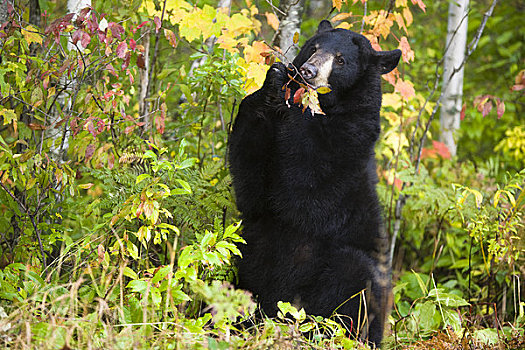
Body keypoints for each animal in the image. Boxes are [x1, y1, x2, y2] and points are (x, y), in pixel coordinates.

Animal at [229, 20, 402, 346]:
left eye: (341, 60)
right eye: (314, 47)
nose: (306, 71)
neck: (330, 109)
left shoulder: (349, 144)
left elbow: (307, 186)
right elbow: (253, 187)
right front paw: (274, 82)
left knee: (353, 276)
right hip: (253, 260)